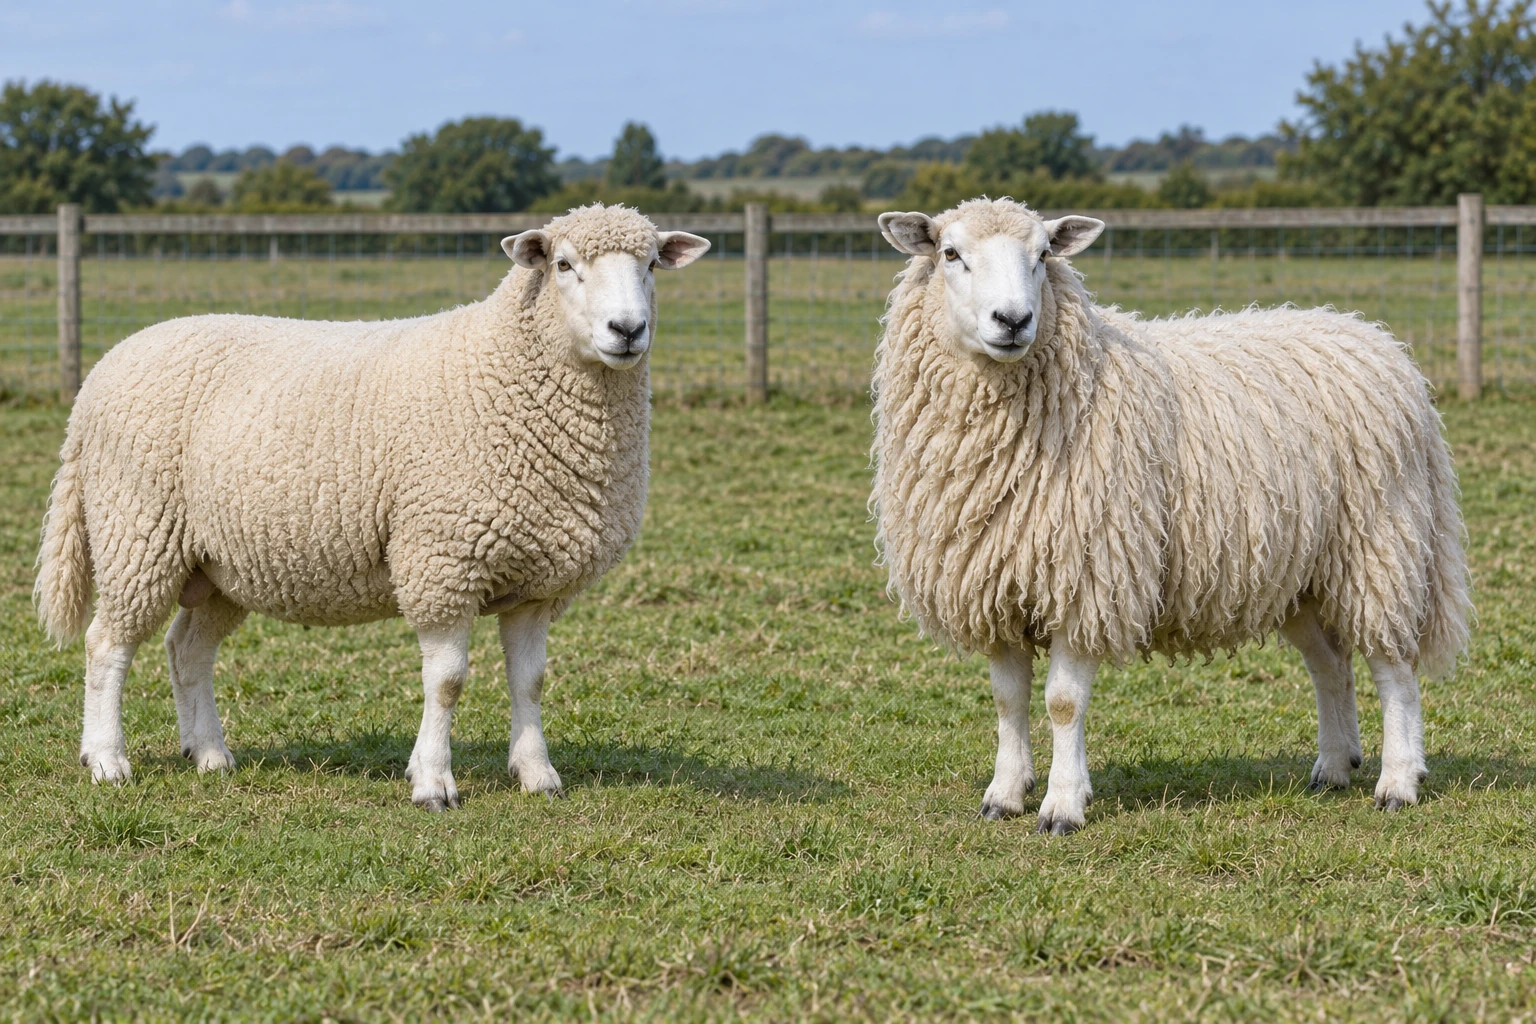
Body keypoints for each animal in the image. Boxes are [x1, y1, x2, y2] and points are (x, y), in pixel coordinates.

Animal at [34, 203, 710, 810]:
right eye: (565, 265)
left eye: (651, 264)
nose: (628, 330)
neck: (507, 372)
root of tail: (97, 379)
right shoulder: (442, 560)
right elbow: (447, 682)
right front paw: (433, 782)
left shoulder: (536, 580)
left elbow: (531, 680)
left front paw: (537, 774)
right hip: (136, 528)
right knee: (107, 645)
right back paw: (107, 759)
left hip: (220, 563)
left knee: (188, 650)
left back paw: (209, 754)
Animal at [871, 198, 1469, 833]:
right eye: (950, 254)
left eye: (1043, 255)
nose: (1013, 320)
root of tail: (1376, 340)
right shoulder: (994, 585)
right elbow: (1009, 699)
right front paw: (1004, 794)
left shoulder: (1090, 577)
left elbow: (1062, 702)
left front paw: (1063, 804)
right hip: (1299, 572)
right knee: (1331, 665)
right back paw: (1333, 768)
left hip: (1381, 544)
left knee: (1393, 668)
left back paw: (1399, 781)